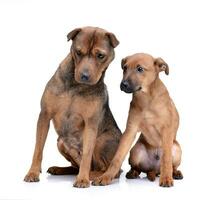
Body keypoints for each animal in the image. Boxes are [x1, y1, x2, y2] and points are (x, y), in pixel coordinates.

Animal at [23, 26, 120, 188]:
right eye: (78, 52)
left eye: (100, 55)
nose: (84, 76)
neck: (76, 85)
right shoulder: (44, 115)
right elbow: (38, 149)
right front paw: (33, 173)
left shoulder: (91, 123)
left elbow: (87, 154)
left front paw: (83, 179)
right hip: (61, 142)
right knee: (75, 166)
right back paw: (60, 169)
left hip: (101, 141)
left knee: (108, 170)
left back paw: (93, 176)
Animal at [92, 52, 183, 187]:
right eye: (124, 68)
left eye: (140, 69)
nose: (123, 85)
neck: (147, 98)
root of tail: (154, 169)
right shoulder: (130, 130)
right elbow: (117, 158)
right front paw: (106, 176)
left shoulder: (166, 130)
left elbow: (166, 159)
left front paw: (166, 178)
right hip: (136, 150)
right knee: (138, 168)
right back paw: (132, 173)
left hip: (176, 148)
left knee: (172, 165)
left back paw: (175, 173)